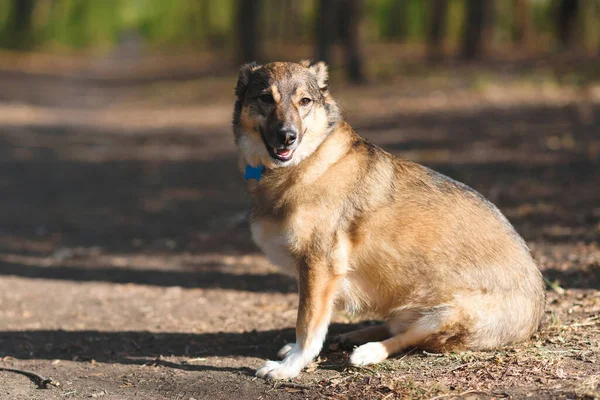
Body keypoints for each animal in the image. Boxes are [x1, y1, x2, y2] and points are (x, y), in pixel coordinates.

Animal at [232, 61, 548, 380]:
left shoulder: (320, 266)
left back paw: (368, 351)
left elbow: (307, 327)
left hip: (447, 314)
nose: (287, 136)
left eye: (304, 101)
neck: (307, 162)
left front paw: (290, 366)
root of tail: (536, 313)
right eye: (265, 98)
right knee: (396, 326)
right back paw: (353, 336)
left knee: (407, 337)